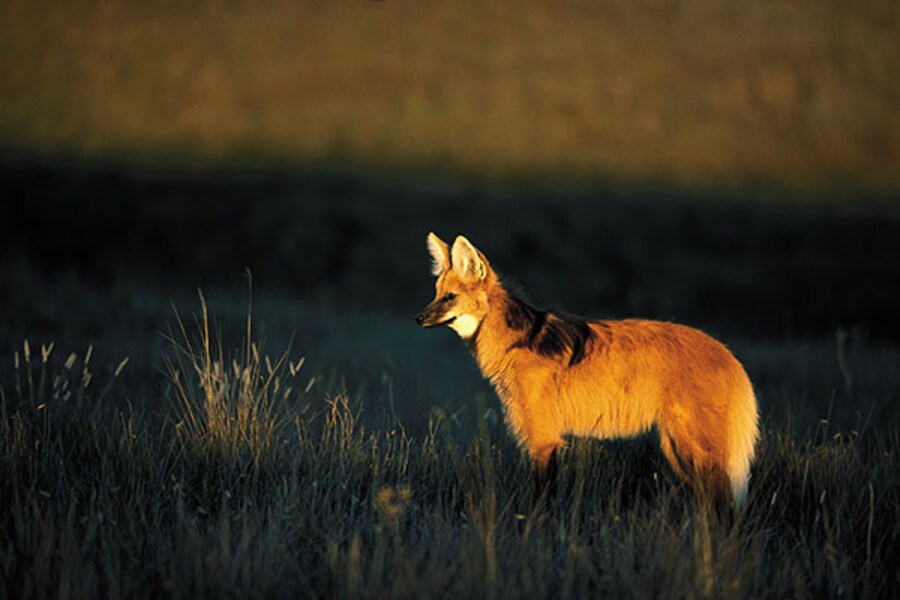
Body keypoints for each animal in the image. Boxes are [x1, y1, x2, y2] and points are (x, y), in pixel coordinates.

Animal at [414, 233, 760, 506]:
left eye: (450, 297)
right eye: (436, 294)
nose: (418, 318)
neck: (515, 343)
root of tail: (728, 354)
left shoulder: (543, 440)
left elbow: (541, 506)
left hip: (694, 448)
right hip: (677, 449)